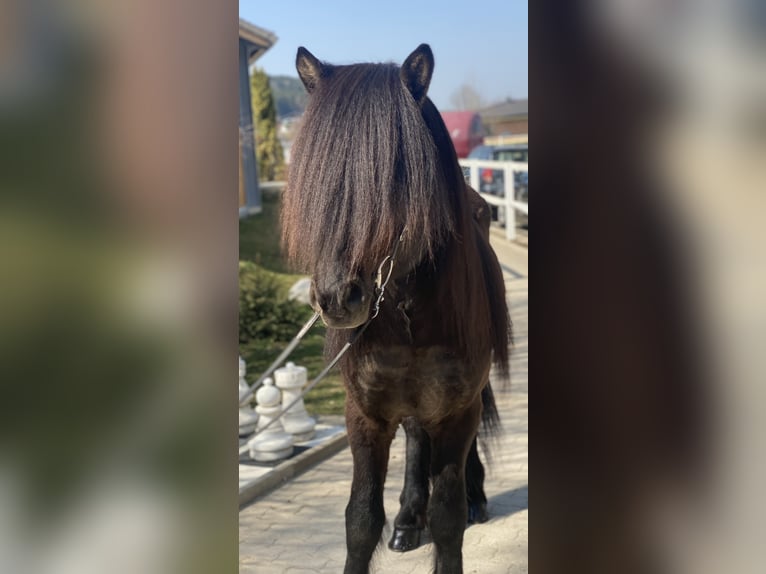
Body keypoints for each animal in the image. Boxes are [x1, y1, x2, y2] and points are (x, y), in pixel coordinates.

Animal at [281, 44, 511, 574]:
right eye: (316, 170)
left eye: (398, 171)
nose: (337, 297)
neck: (408, 316)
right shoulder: (364, 414)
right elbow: (361, 519)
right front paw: (403, 517)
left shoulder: (457, 411)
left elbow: (448, 520)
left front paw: (455, 507)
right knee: (414, 436)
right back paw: (408, 518)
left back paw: (474, 497)